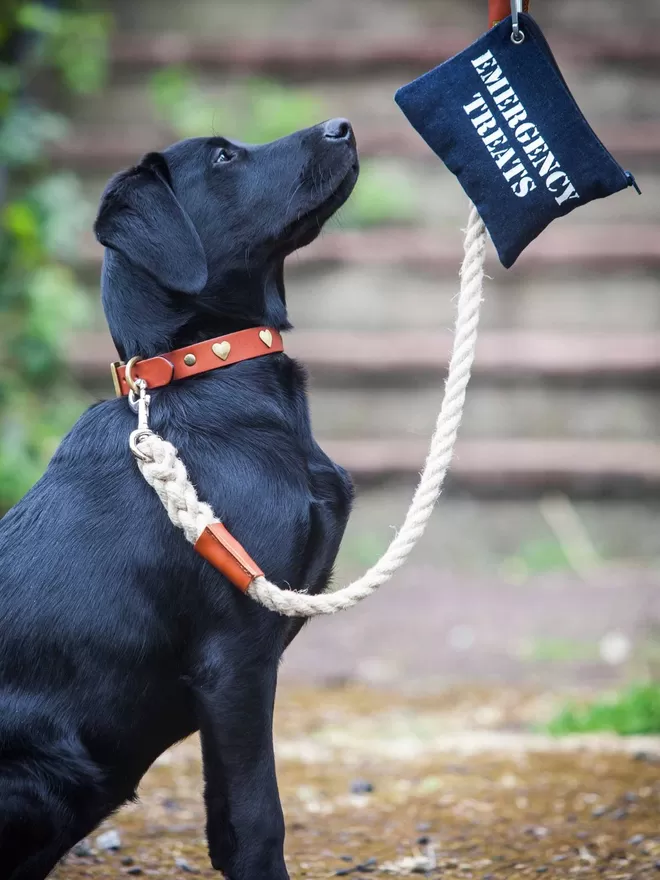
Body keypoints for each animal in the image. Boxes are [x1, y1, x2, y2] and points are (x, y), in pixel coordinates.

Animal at [0, 118, 358, 880]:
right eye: (223, 156)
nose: (342, 126)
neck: (208, 375)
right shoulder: (234, 656)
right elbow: (259, 818)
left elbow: (227, 820)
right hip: (50, 773)